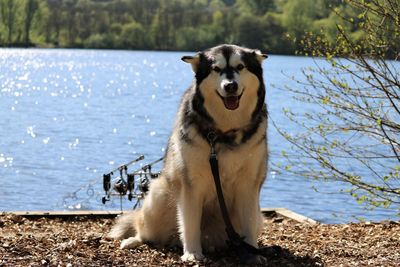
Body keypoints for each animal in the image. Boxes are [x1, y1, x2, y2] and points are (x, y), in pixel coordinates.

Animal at [108, 44, 268, 264]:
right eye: (216, 69)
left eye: (240, 67)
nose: (230, 86)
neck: (224, 132)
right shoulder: (192, 183)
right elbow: (190, 222)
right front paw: (192, 253)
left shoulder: (248, 184)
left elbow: (248, 222)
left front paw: (252, 253)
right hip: (157, 197)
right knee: (145, 230)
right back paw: (134, 240)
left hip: (258, 216)